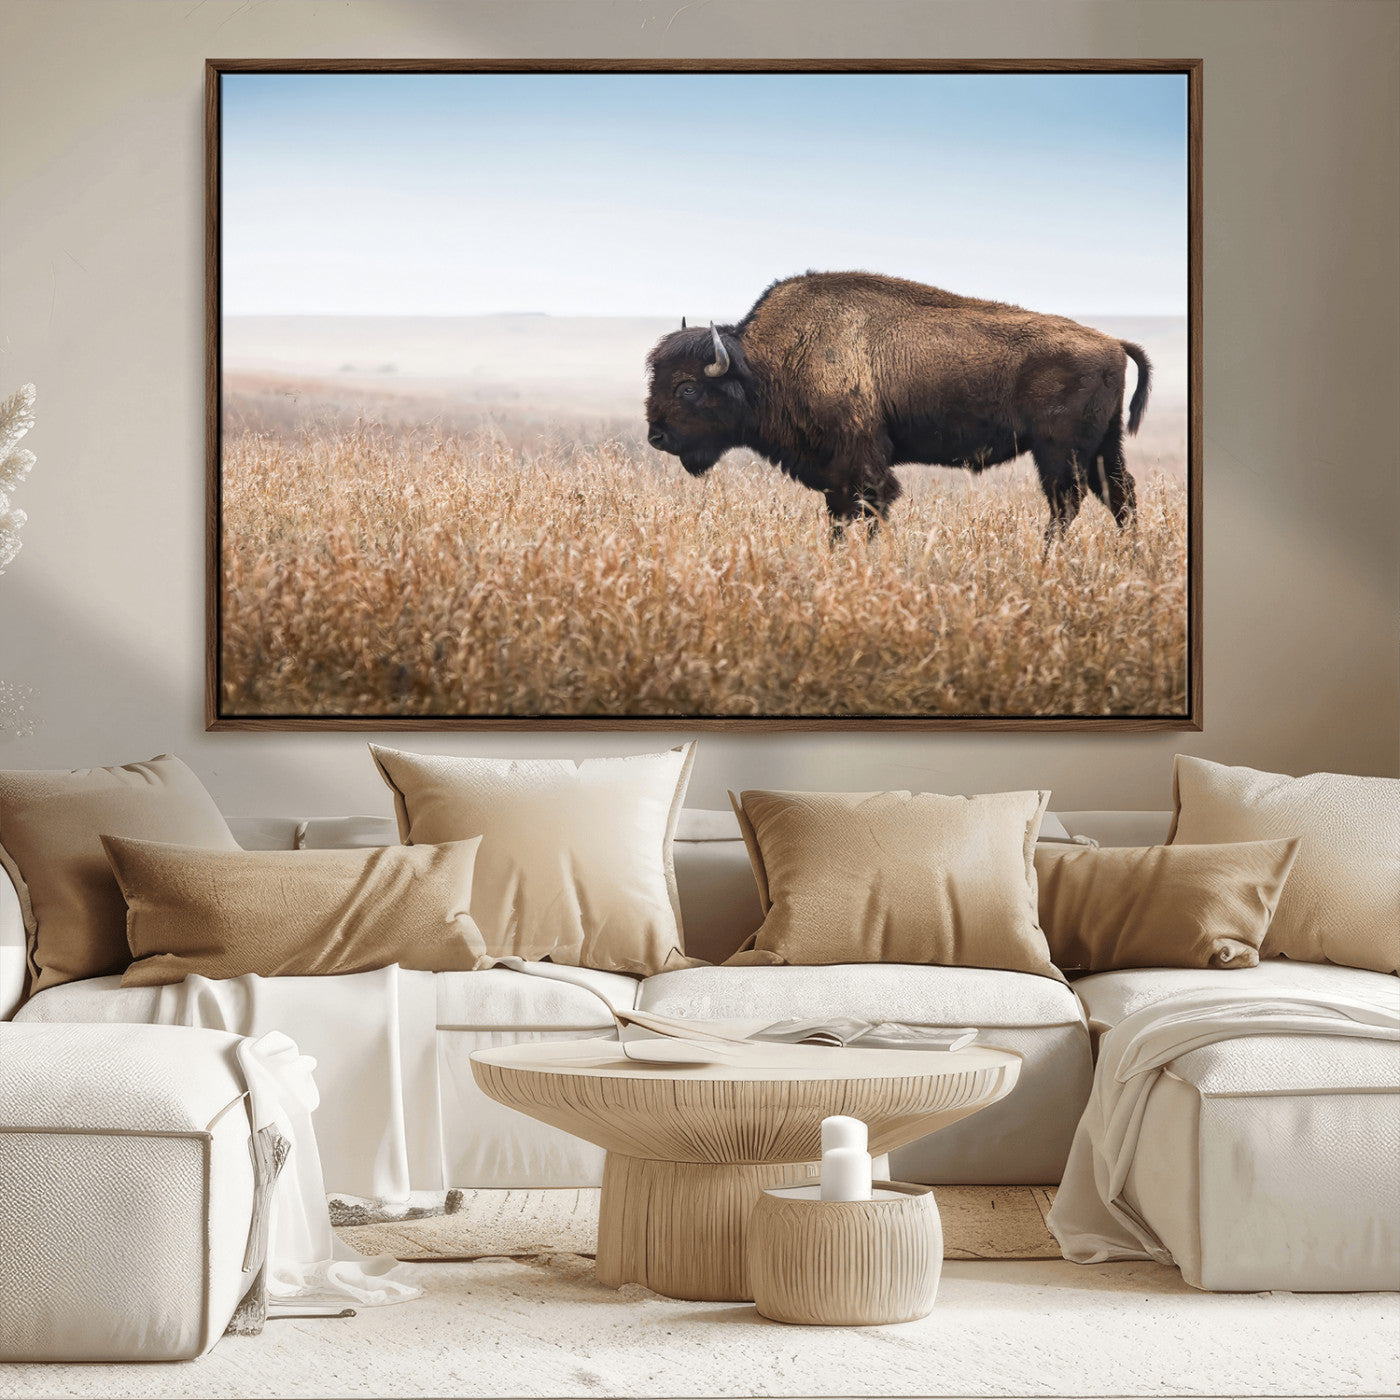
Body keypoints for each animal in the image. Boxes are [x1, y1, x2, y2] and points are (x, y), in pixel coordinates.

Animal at [645, 271, 1152, 540]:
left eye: (687, 387)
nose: (656, 436)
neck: (767, 363)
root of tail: (1112, 342)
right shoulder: (835, 473)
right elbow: (840, 516)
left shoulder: (861, 464)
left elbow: (870, 508)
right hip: (1103, 446)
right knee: (1119, 495)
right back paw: (1129, 557)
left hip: (1059, 451)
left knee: (1067, 502)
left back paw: (1048, 559)